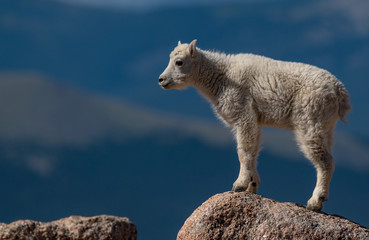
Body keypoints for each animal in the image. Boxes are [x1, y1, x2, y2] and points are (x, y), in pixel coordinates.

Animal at [157, 39, 348, 210]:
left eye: (179, 62)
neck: (222, 76)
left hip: (310, 120)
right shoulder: (254, 120)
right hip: (326, 126)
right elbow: (254, 150)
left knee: (325, 161)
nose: (161, 80)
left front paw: (239, 184)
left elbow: (244, 150)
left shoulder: (243, 113)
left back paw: (315, 201)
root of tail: (340, 92)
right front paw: (252, 185)